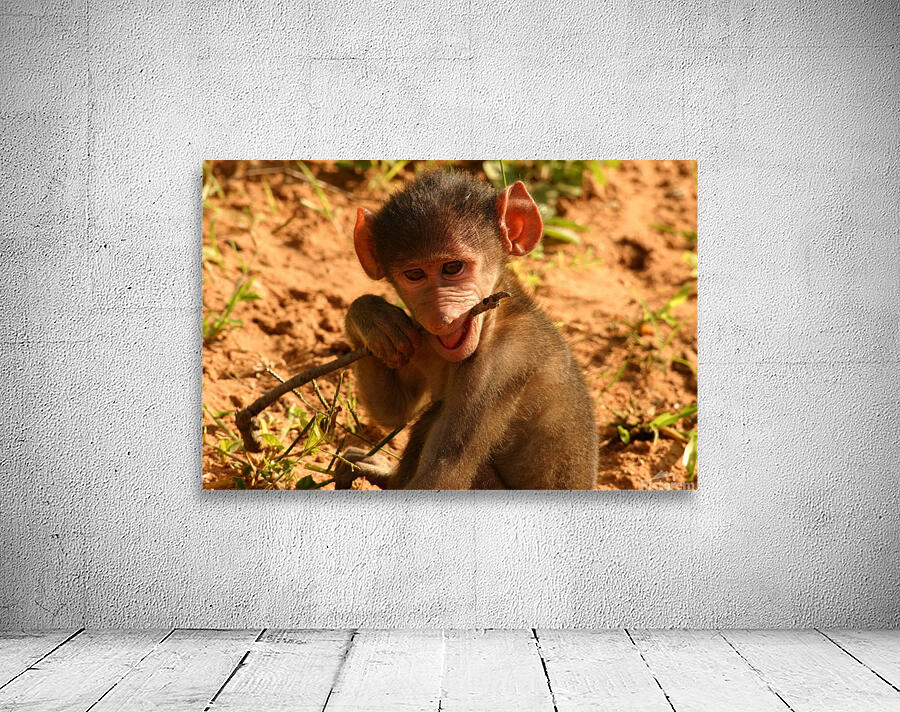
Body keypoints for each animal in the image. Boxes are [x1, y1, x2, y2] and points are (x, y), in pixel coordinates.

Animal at [336, 170, 598, 490]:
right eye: (414, 274)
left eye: (453, 267)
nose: (442, 319)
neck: (493, 320)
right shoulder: (420, 337)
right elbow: (394, 410)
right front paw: (372, 318)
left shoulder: (501, 366)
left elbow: (446, 470)